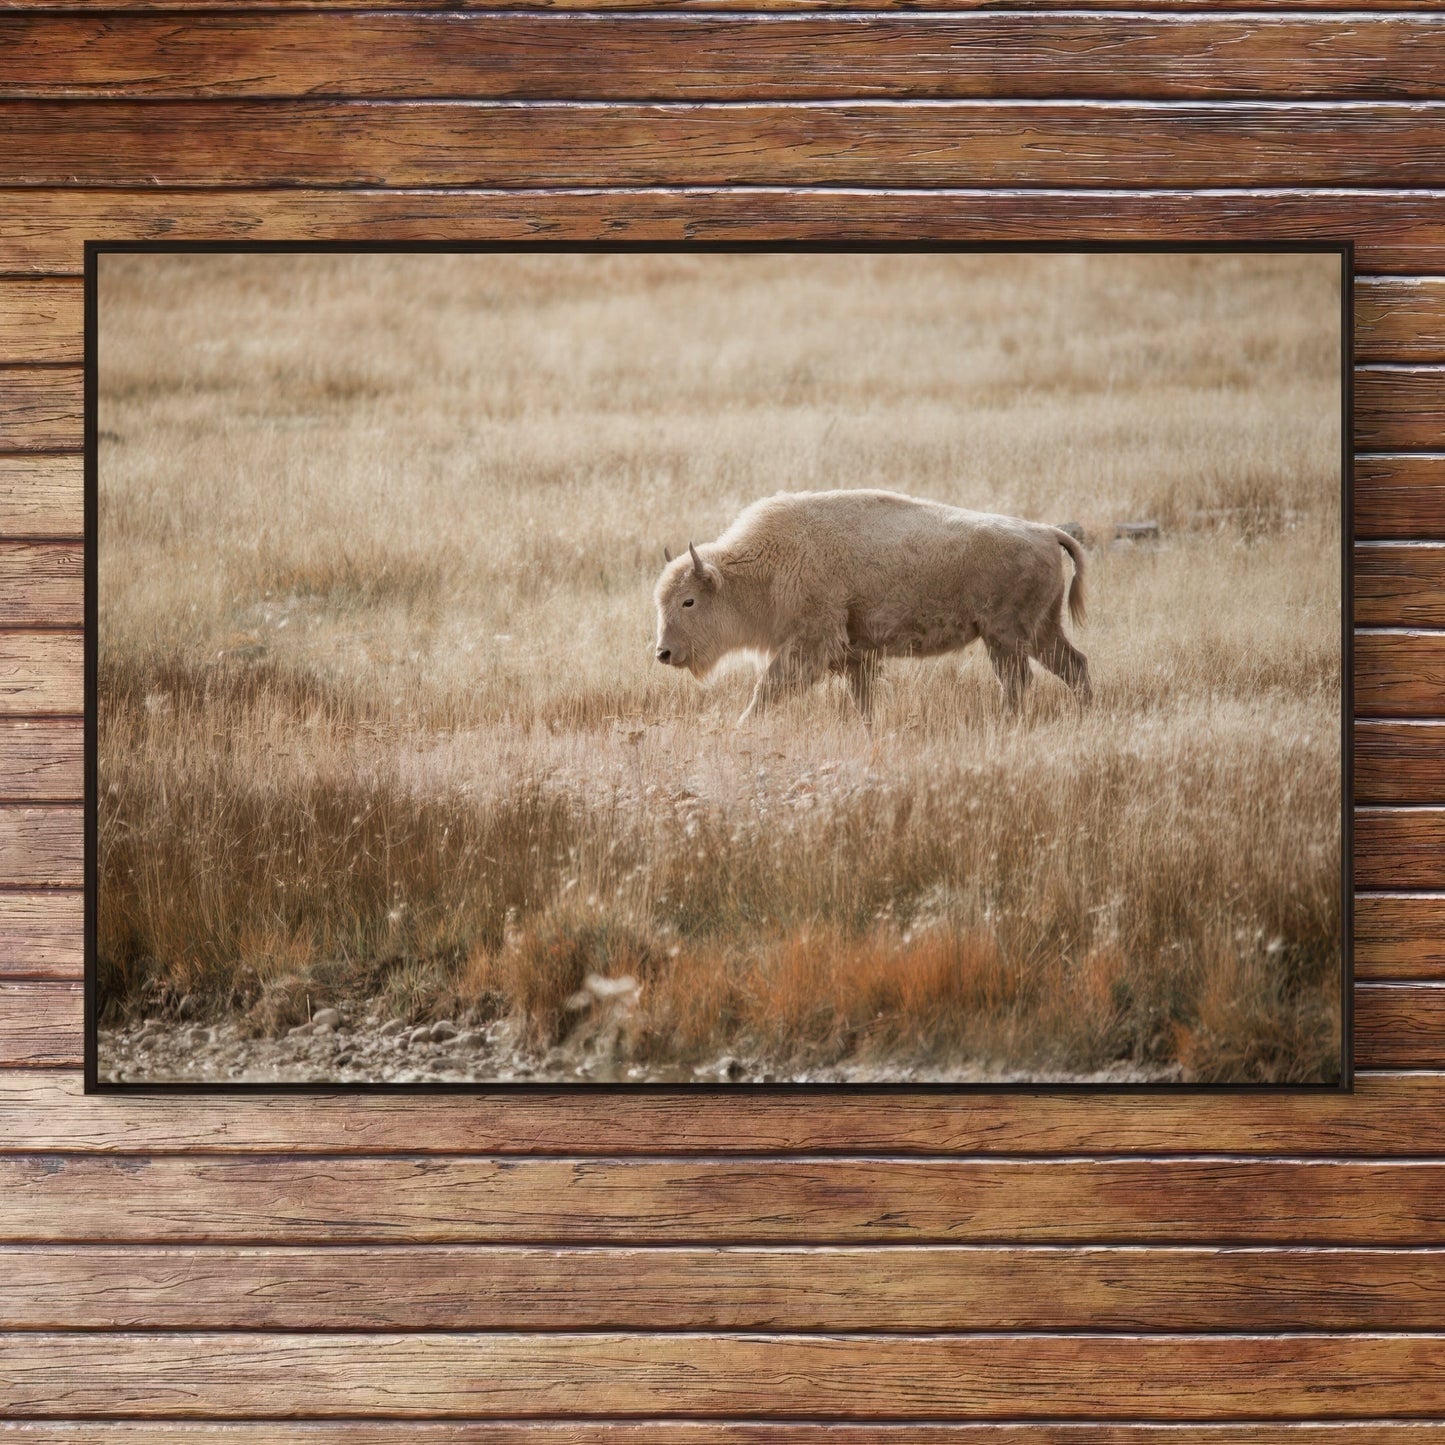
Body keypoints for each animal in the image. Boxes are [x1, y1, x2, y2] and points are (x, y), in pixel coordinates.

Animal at [653, 491, 1086, 722]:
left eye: (688, 601)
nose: (664, 653)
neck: (764, 565)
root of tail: (1046, 532)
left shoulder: (809, 646)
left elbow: (767, 689)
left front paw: (742, 726)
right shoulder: (856, 657)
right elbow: (863, 703)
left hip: (1004, 637)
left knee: (1018, 681)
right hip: (1040, 632)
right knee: (1074, 665)